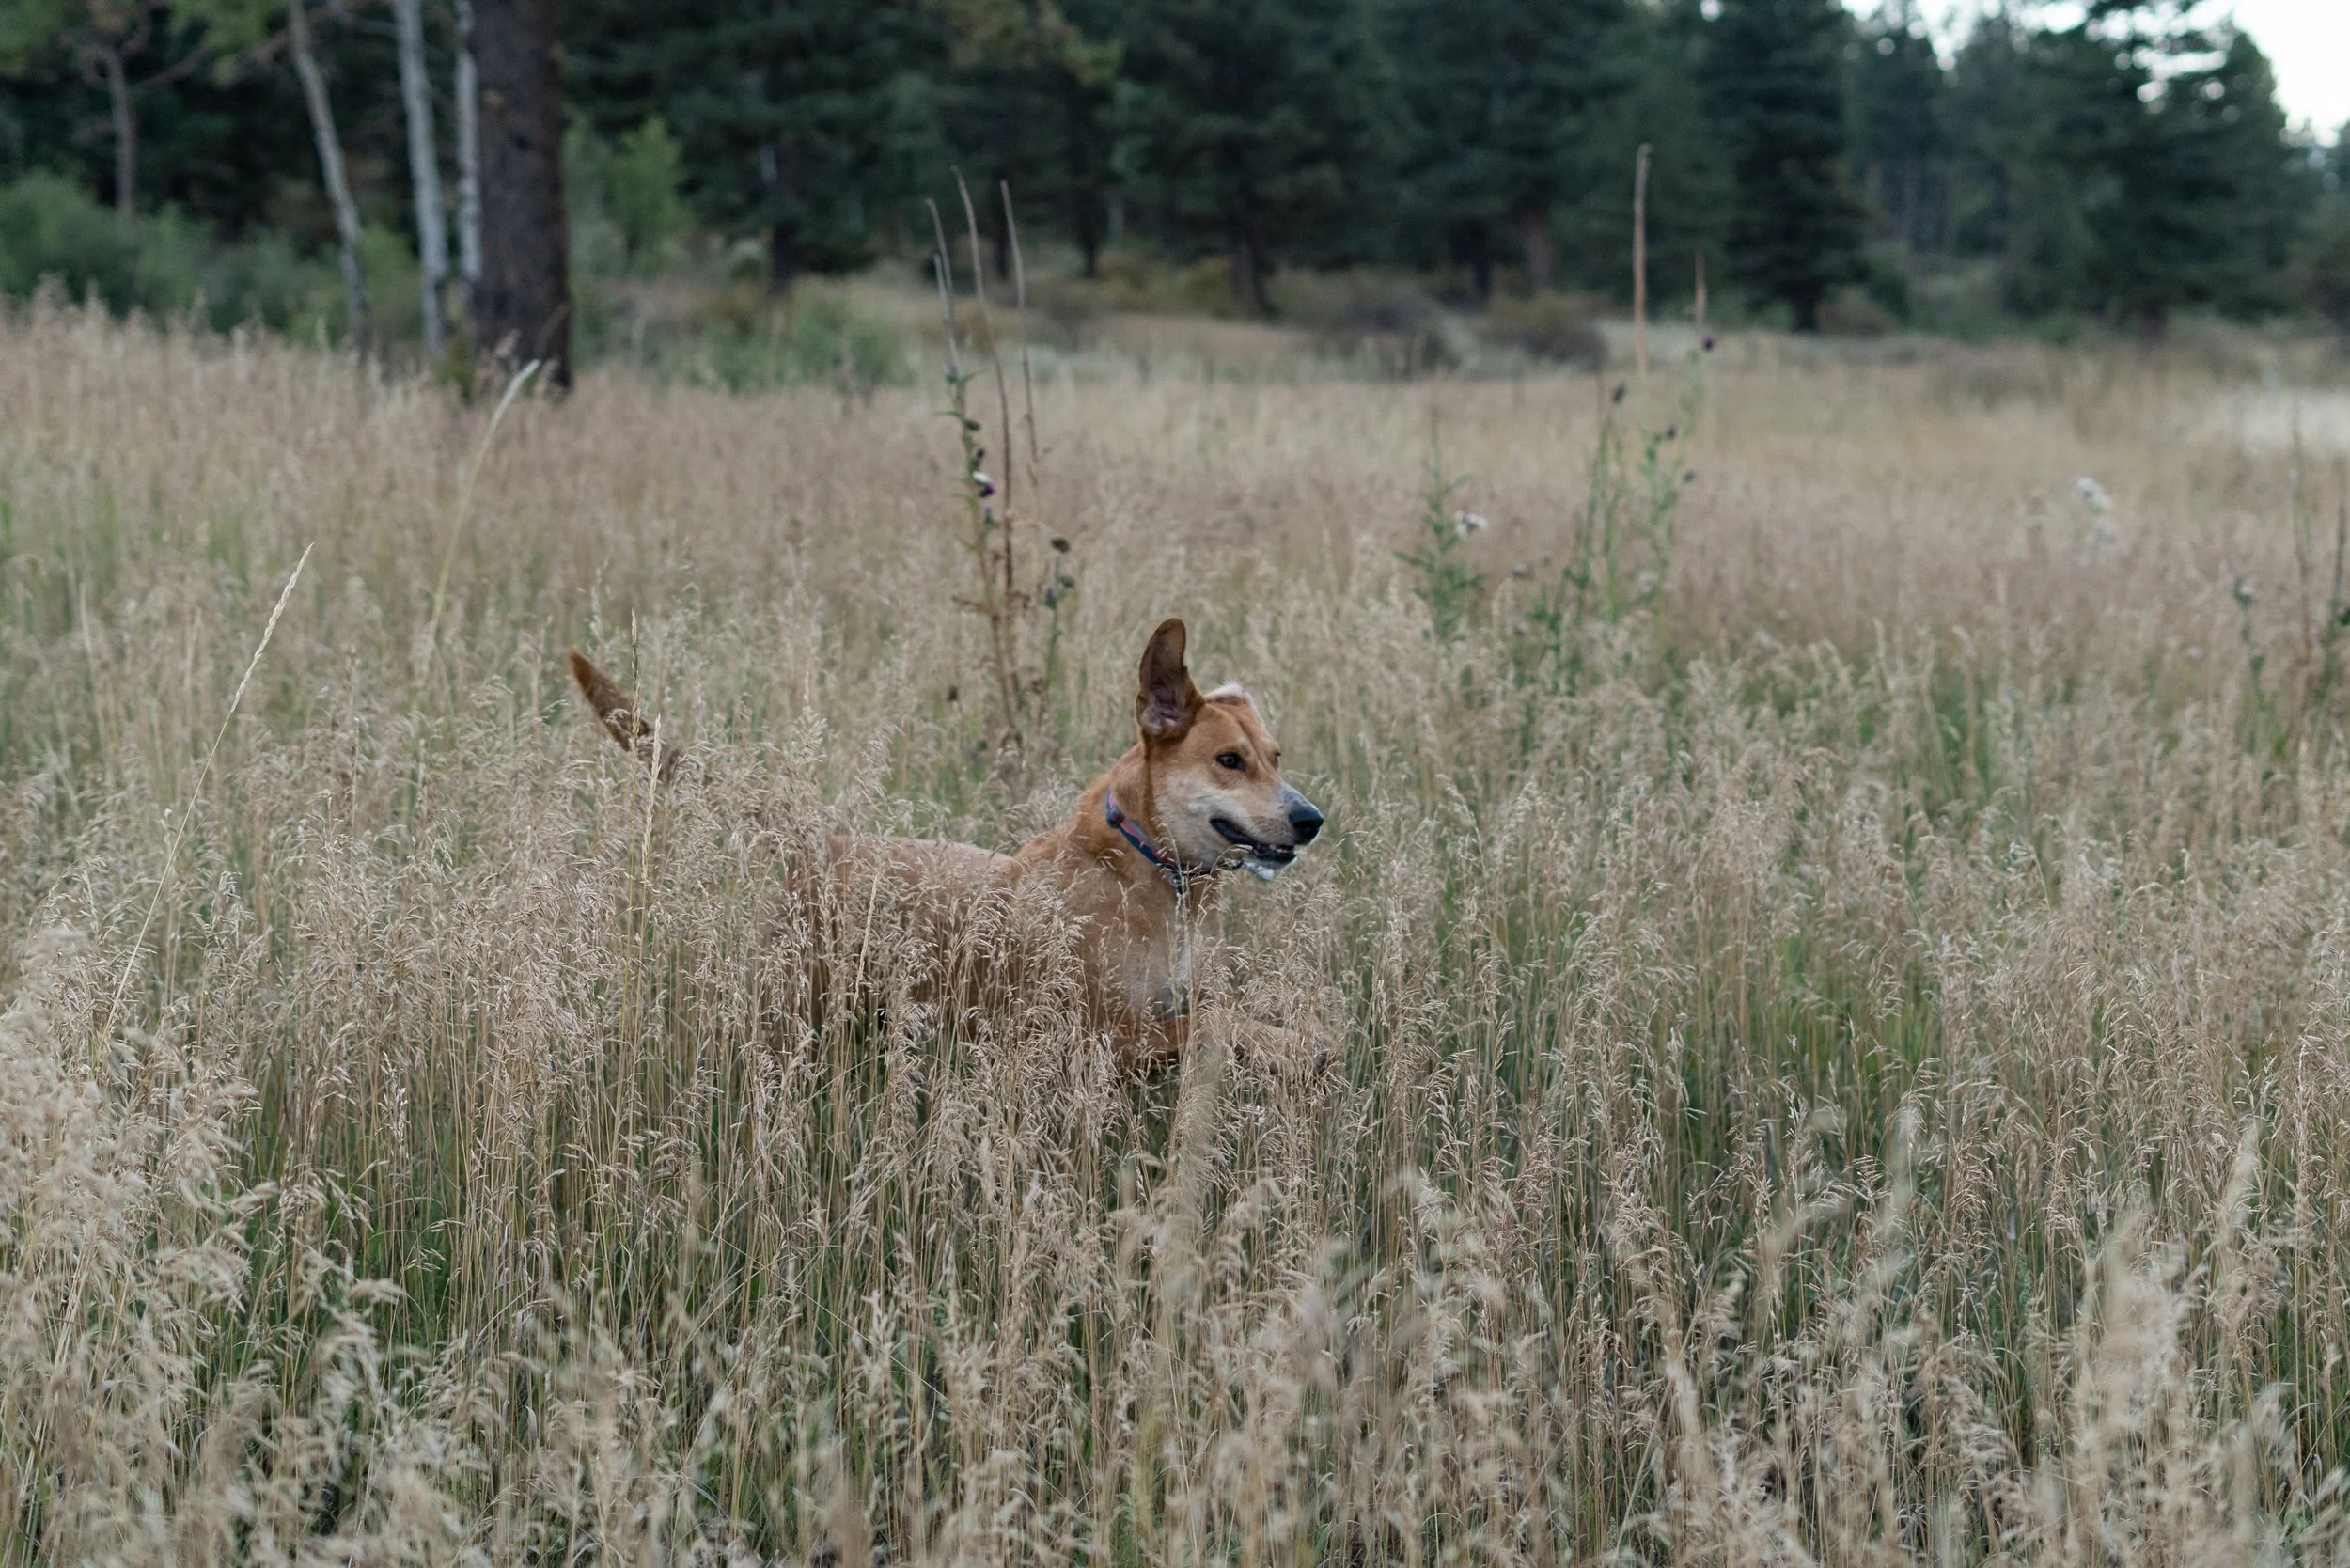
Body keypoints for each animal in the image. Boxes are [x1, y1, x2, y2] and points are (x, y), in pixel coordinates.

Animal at [567, 618, 1323, 1071]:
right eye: (1230, 761)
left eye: (1276, 758)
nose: (1311, 819)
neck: (1149, 870)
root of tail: (820, 842)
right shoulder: (1103, 1031)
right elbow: (1218, 1021)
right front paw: (1293, 1045)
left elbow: (1226, 1009)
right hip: (791, 1007)